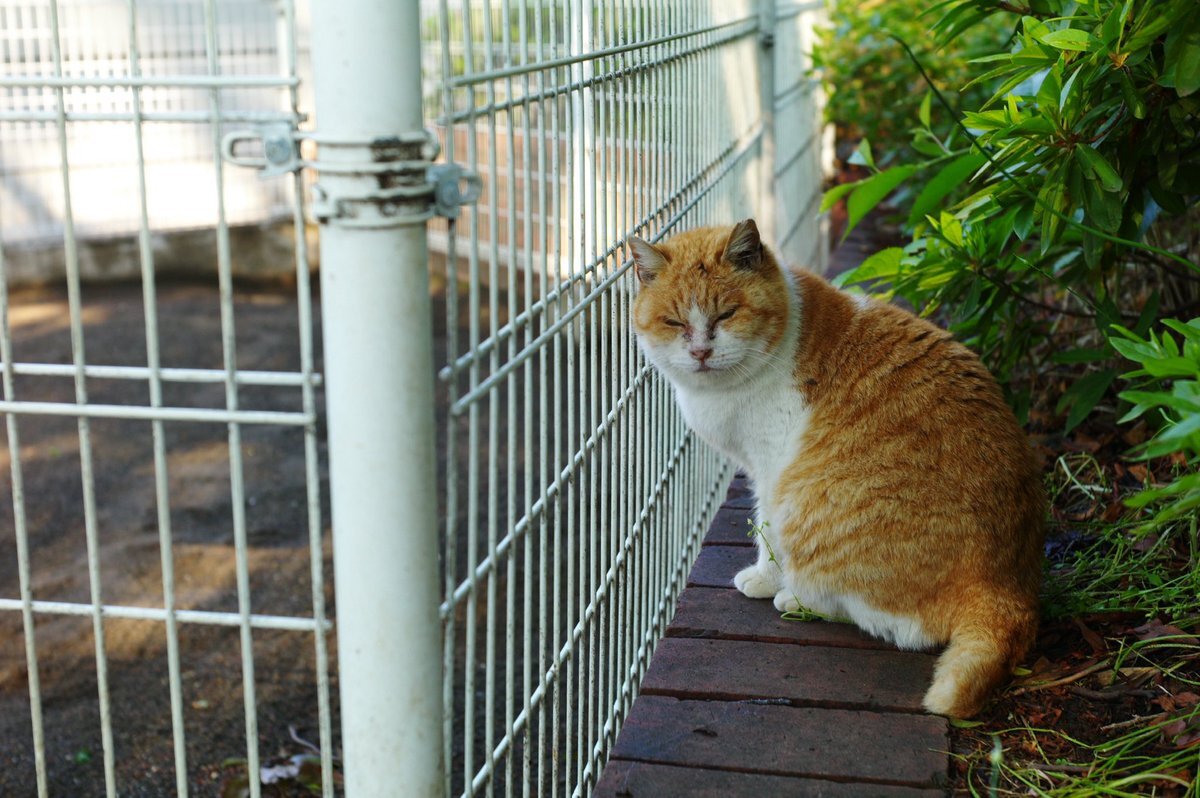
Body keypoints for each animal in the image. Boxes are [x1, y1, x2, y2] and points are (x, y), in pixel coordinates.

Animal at [628, 219, 1045, 718]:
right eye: (674, 322)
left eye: (727, 314)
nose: (701, 353)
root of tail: (1007, 589)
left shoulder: (773, 471)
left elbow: (766, 532)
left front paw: (764, 578)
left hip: (809, 507)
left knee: (899, 626)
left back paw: (795, 597)